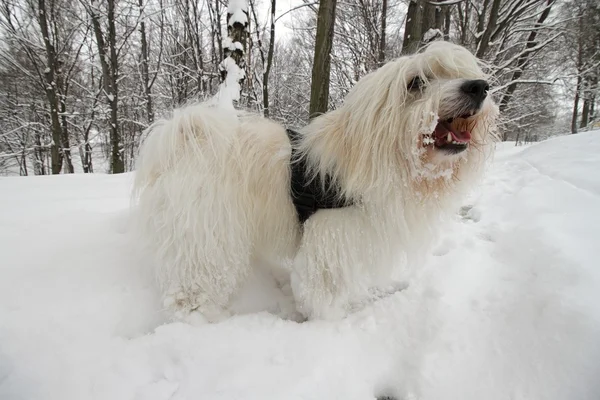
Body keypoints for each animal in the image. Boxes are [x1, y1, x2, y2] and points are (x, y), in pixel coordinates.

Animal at [134, 40, 500, 322]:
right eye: (416, 83)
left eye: (458, 73)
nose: (478, 87)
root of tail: (182, 136)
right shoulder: (331, 239)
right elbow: (321, 293)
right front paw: (330, 323)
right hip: (206, 233)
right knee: (190, 287)